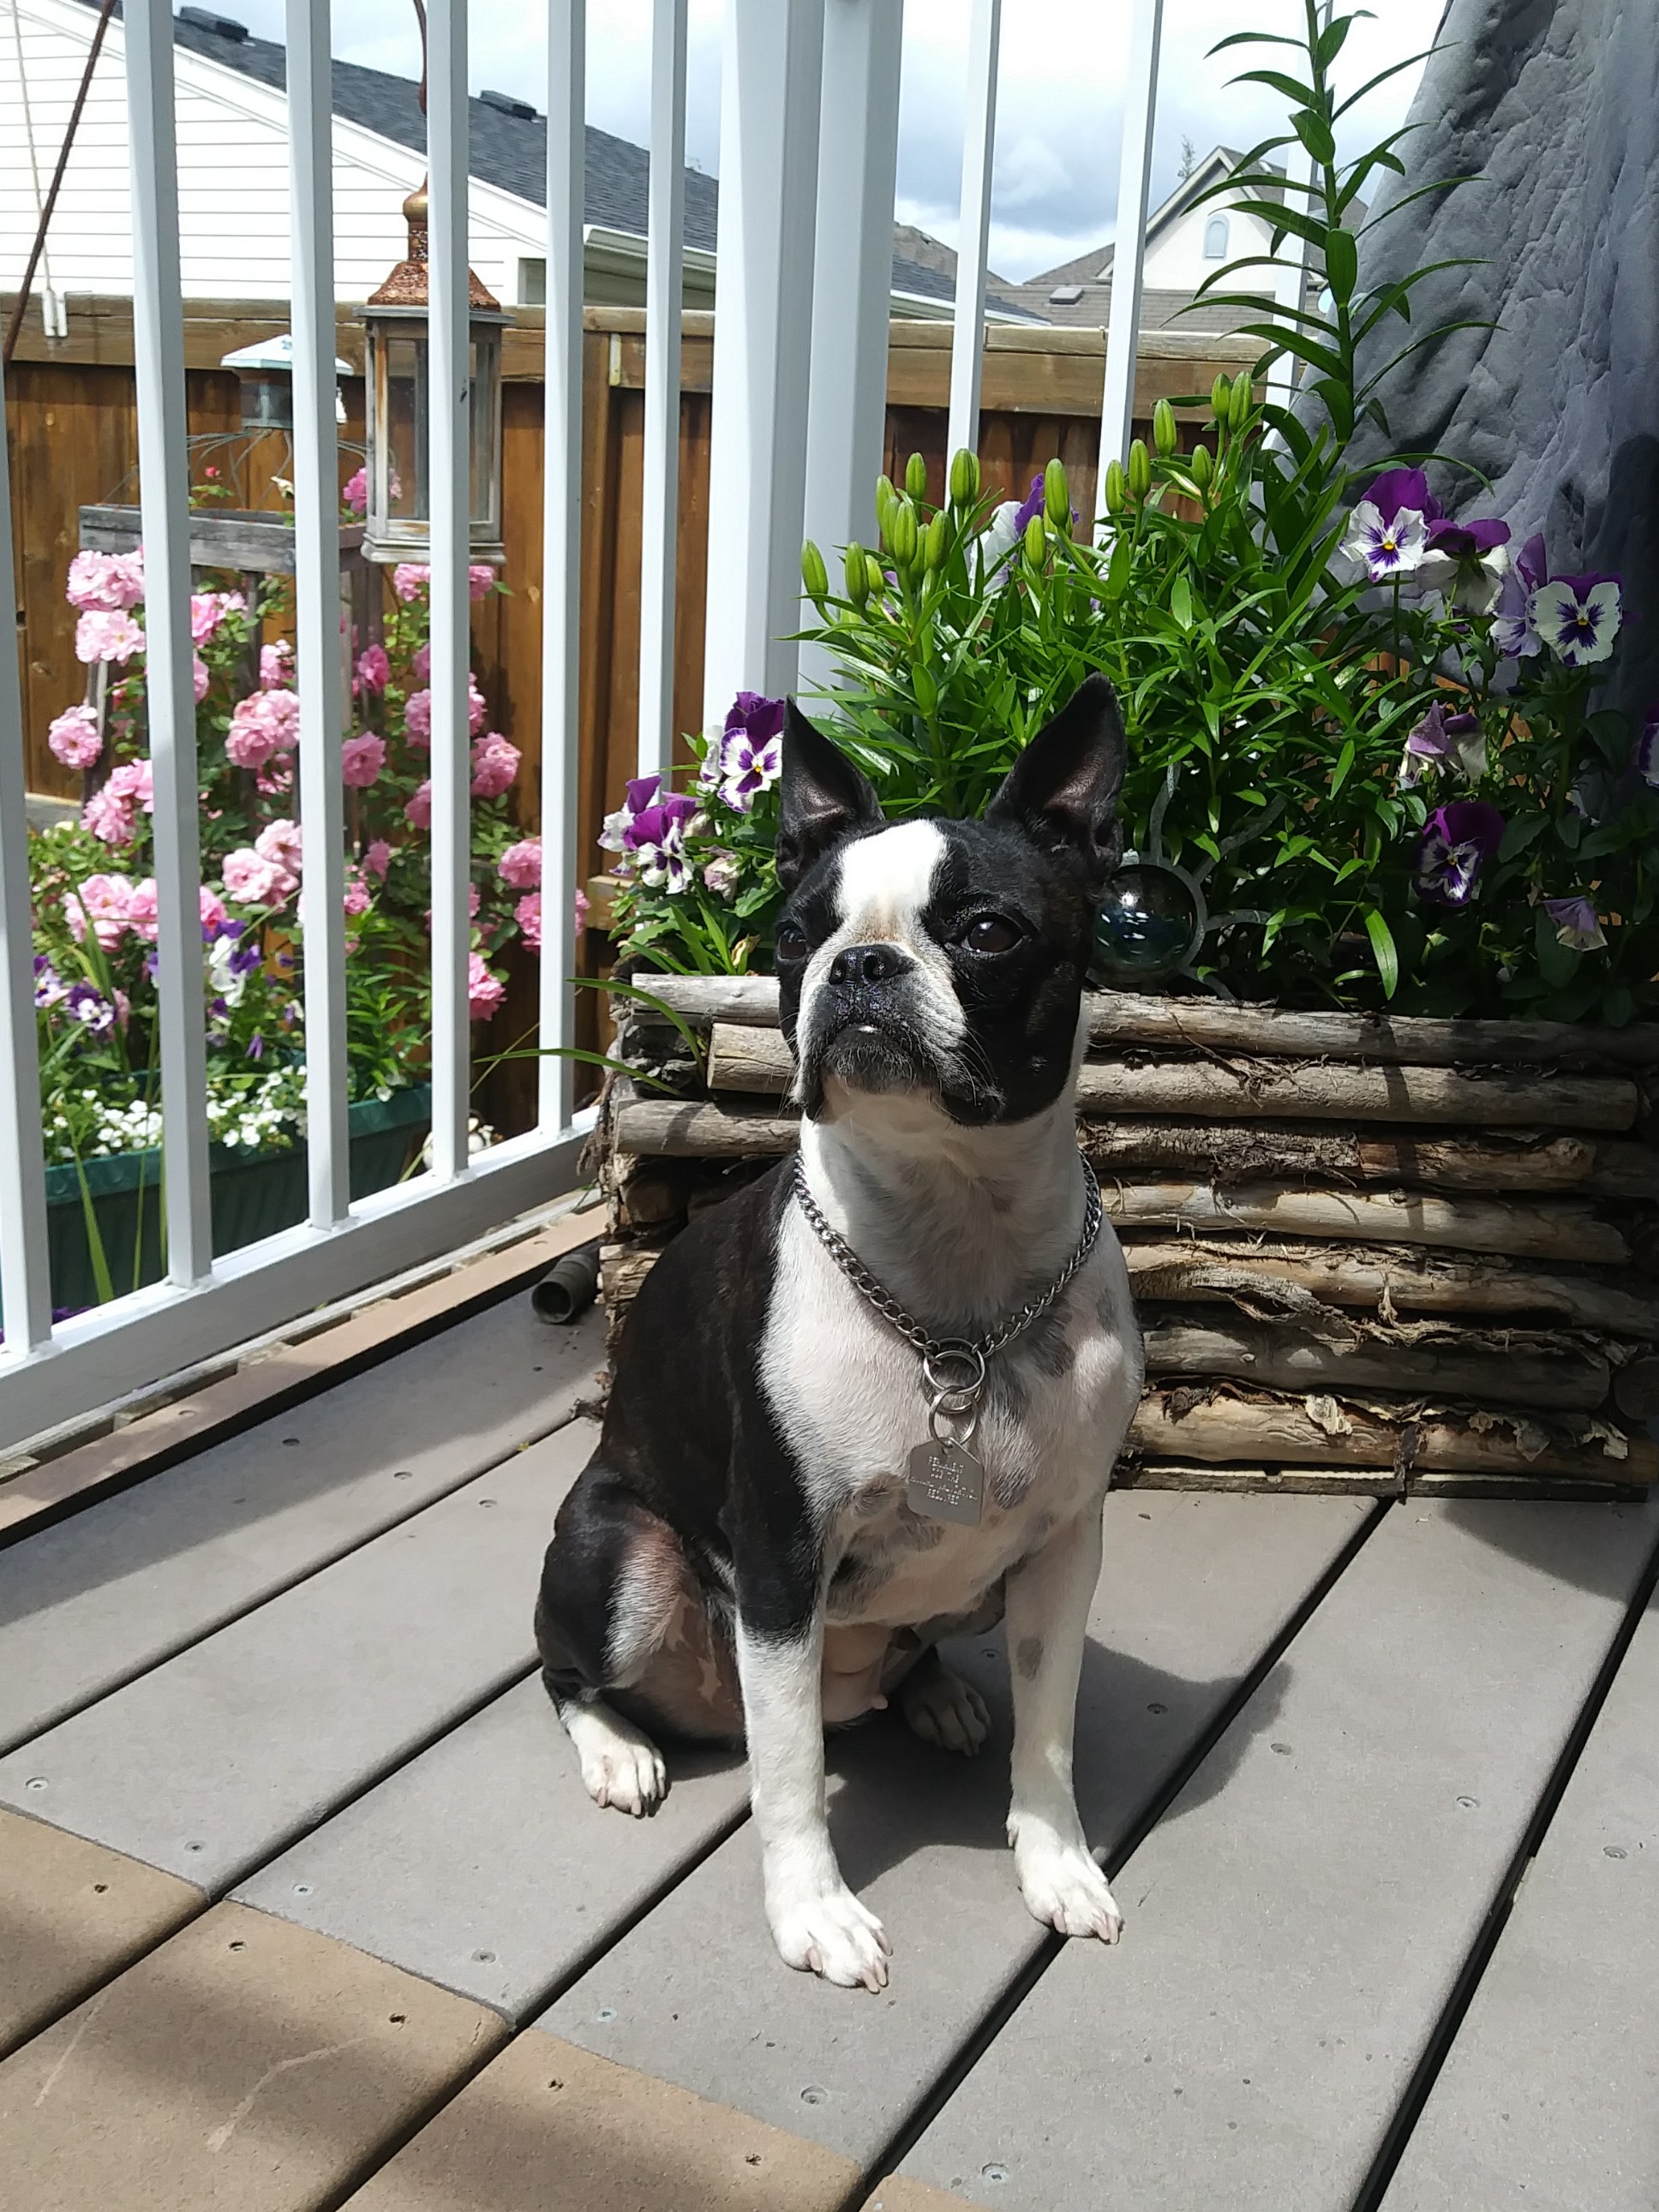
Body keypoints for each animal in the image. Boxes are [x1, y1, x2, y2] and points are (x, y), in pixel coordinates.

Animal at [534, 673, 1145, 1989]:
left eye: (985, 932)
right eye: (791, 938)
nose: (857, 962)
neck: (952, 1255)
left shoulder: (1067, 1546)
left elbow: (1052, 1733)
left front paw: (1057, 1863)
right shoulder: (778, 1558)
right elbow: (791, 1776)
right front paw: (813, 1910)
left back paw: (933, 1695)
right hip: (625, 1562)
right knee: (569, 1667)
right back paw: (618, 1749)